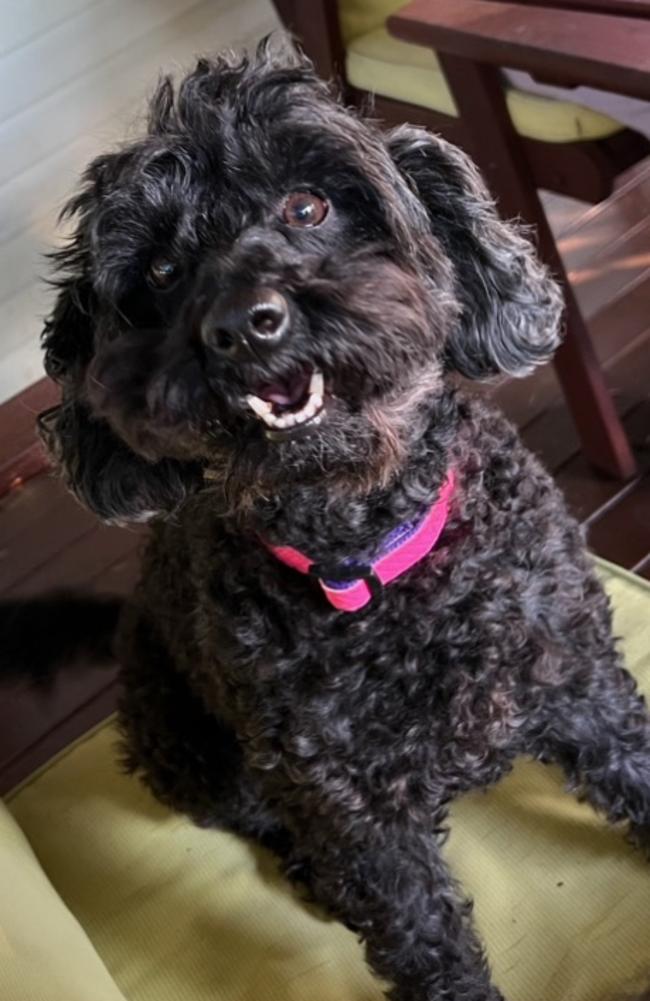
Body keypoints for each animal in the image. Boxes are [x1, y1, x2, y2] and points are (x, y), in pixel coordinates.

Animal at [27, 45, 644, 1001]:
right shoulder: (350, 812)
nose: (242, 325)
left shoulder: (581, 684)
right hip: (192, 754)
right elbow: (422, 938)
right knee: (261, 818)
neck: (370, 562)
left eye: (308, 206)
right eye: (160, 271)